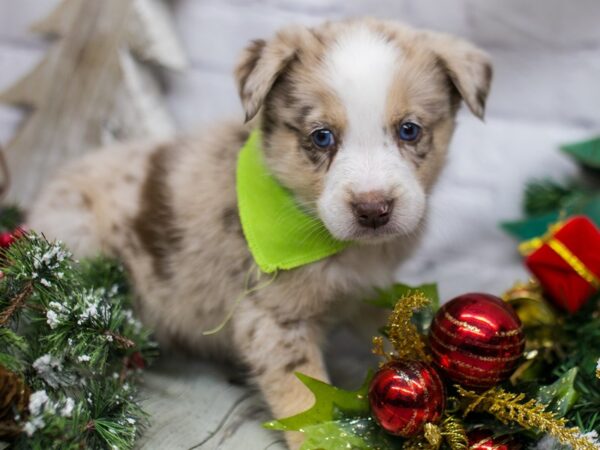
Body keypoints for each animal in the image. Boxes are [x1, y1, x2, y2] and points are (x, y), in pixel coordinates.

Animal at [29, 18, 492, 450]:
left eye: (409, 130)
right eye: (322, 137)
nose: (373, 209)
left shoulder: (363, 290)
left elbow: (391, 325)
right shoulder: (272, 317)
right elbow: (304, 397)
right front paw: (321, 438)